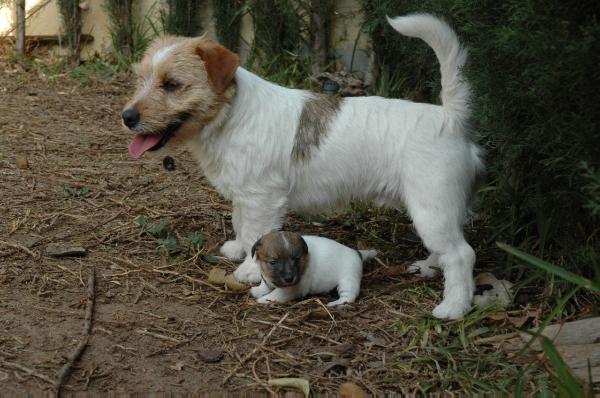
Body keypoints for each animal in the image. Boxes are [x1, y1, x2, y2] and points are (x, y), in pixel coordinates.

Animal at [248, 230, 376, 304]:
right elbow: (265, 285)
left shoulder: (290, 290)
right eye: (273, 262)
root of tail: (357, 253)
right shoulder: (266, 277)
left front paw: (264, 299)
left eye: (296, 259)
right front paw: (258, 290)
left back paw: (335, 304)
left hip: (348, 280)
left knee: (349, 297)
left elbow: (276, 294)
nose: (289, 279)